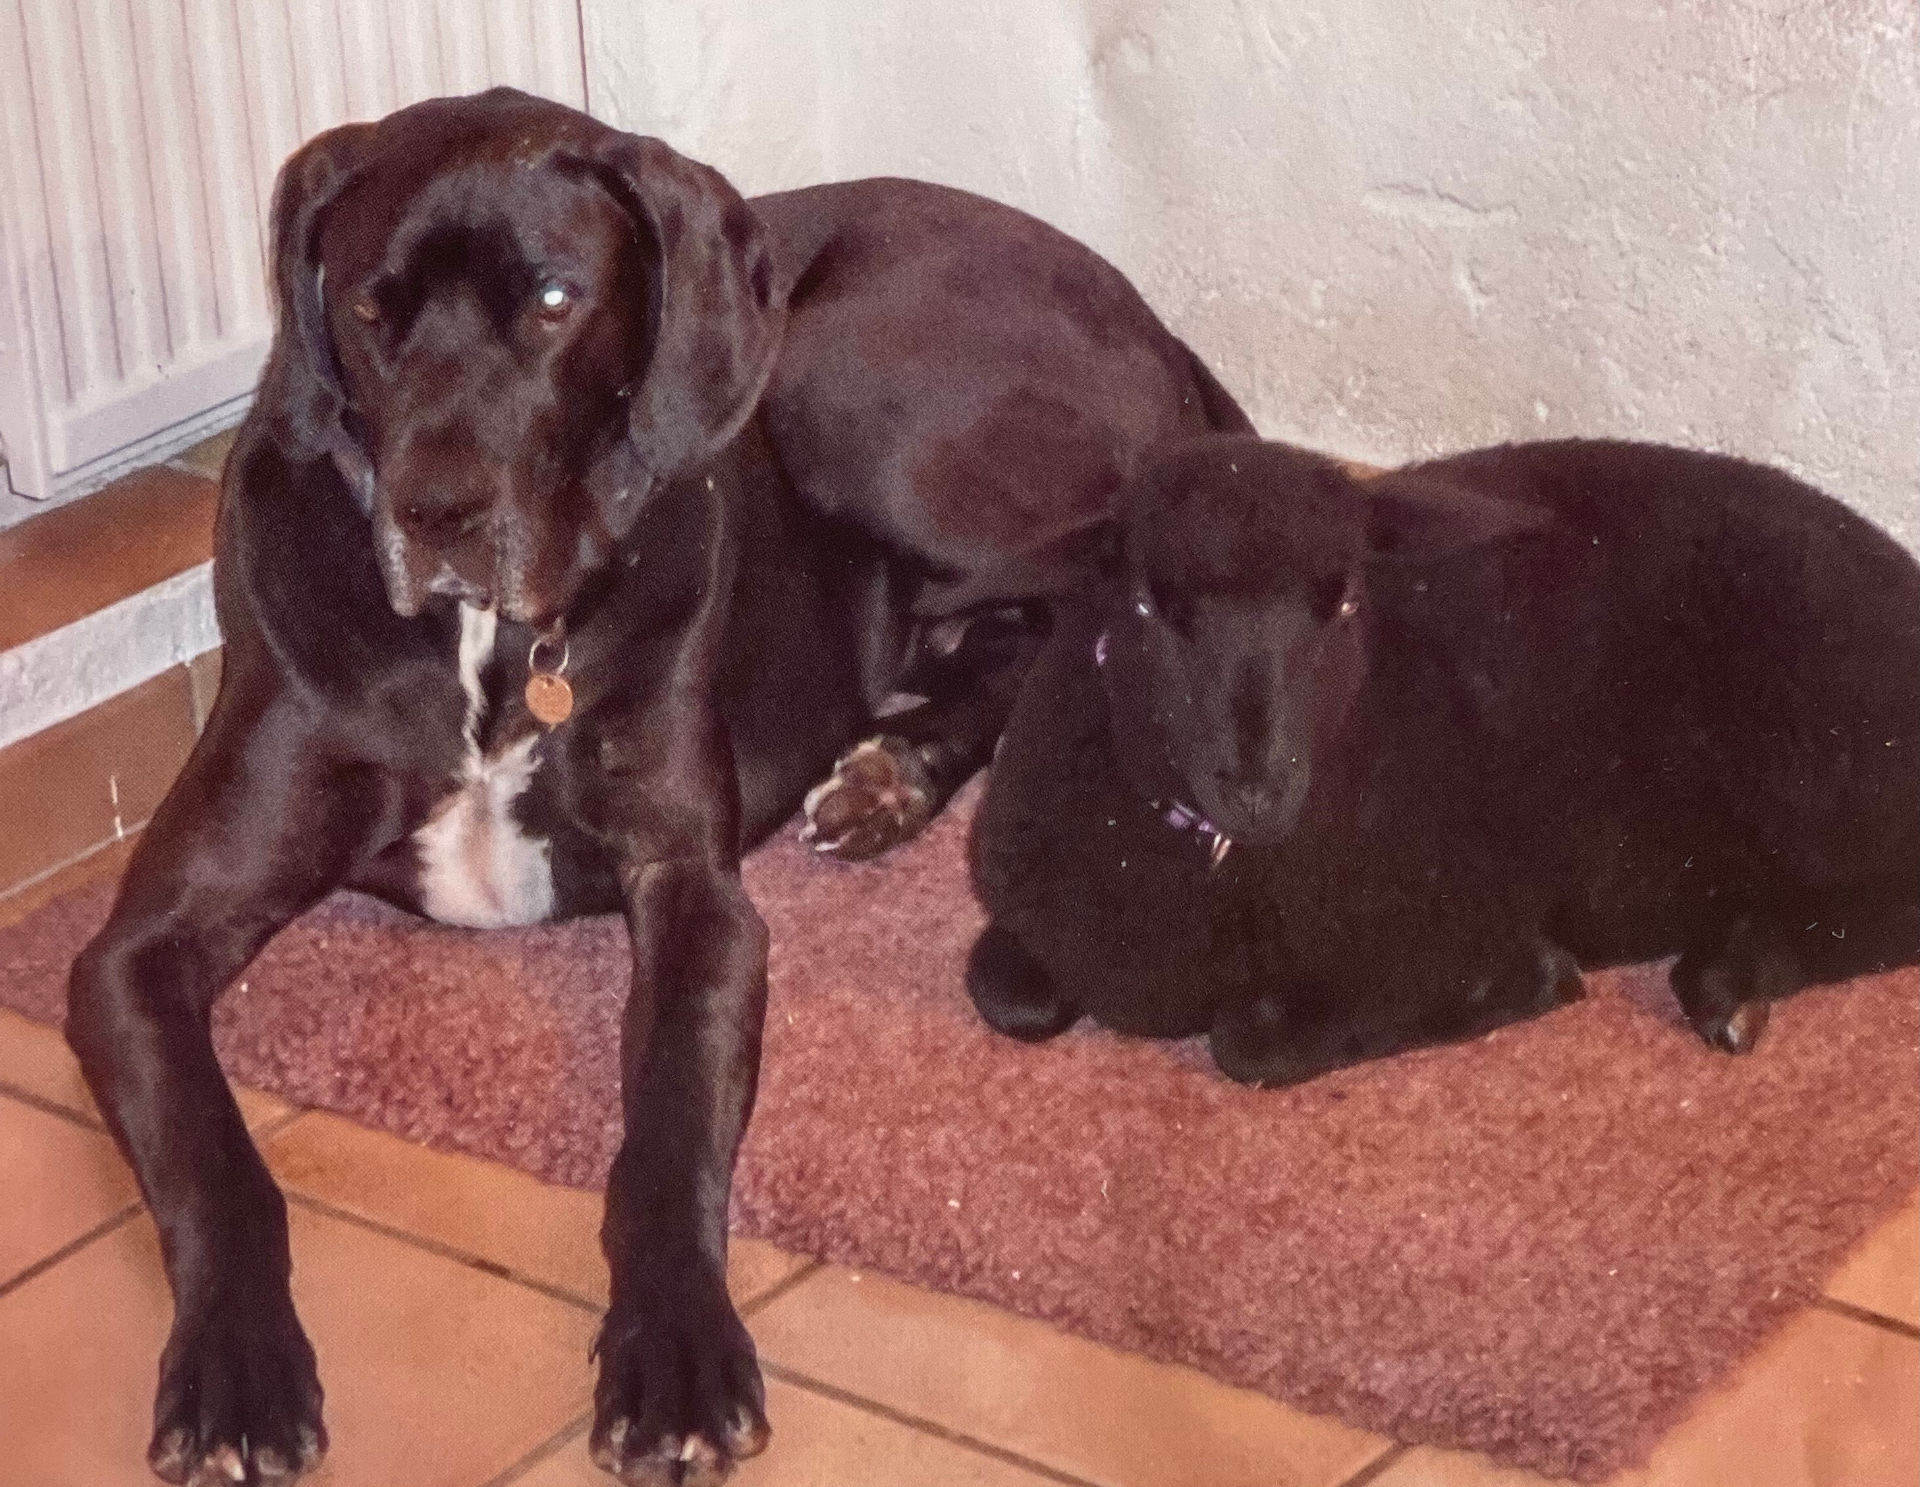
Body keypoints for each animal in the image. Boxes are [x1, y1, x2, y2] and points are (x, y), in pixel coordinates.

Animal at [966, 435, 1920, 1085]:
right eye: (1145, 606)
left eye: (1345, 601)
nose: (1260, 788)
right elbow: (1003, 989)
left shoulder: (1439, 924)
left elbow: (1249, 1040)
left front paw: (1526, 977)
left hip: (1829, 773)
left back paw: (1730, 982)